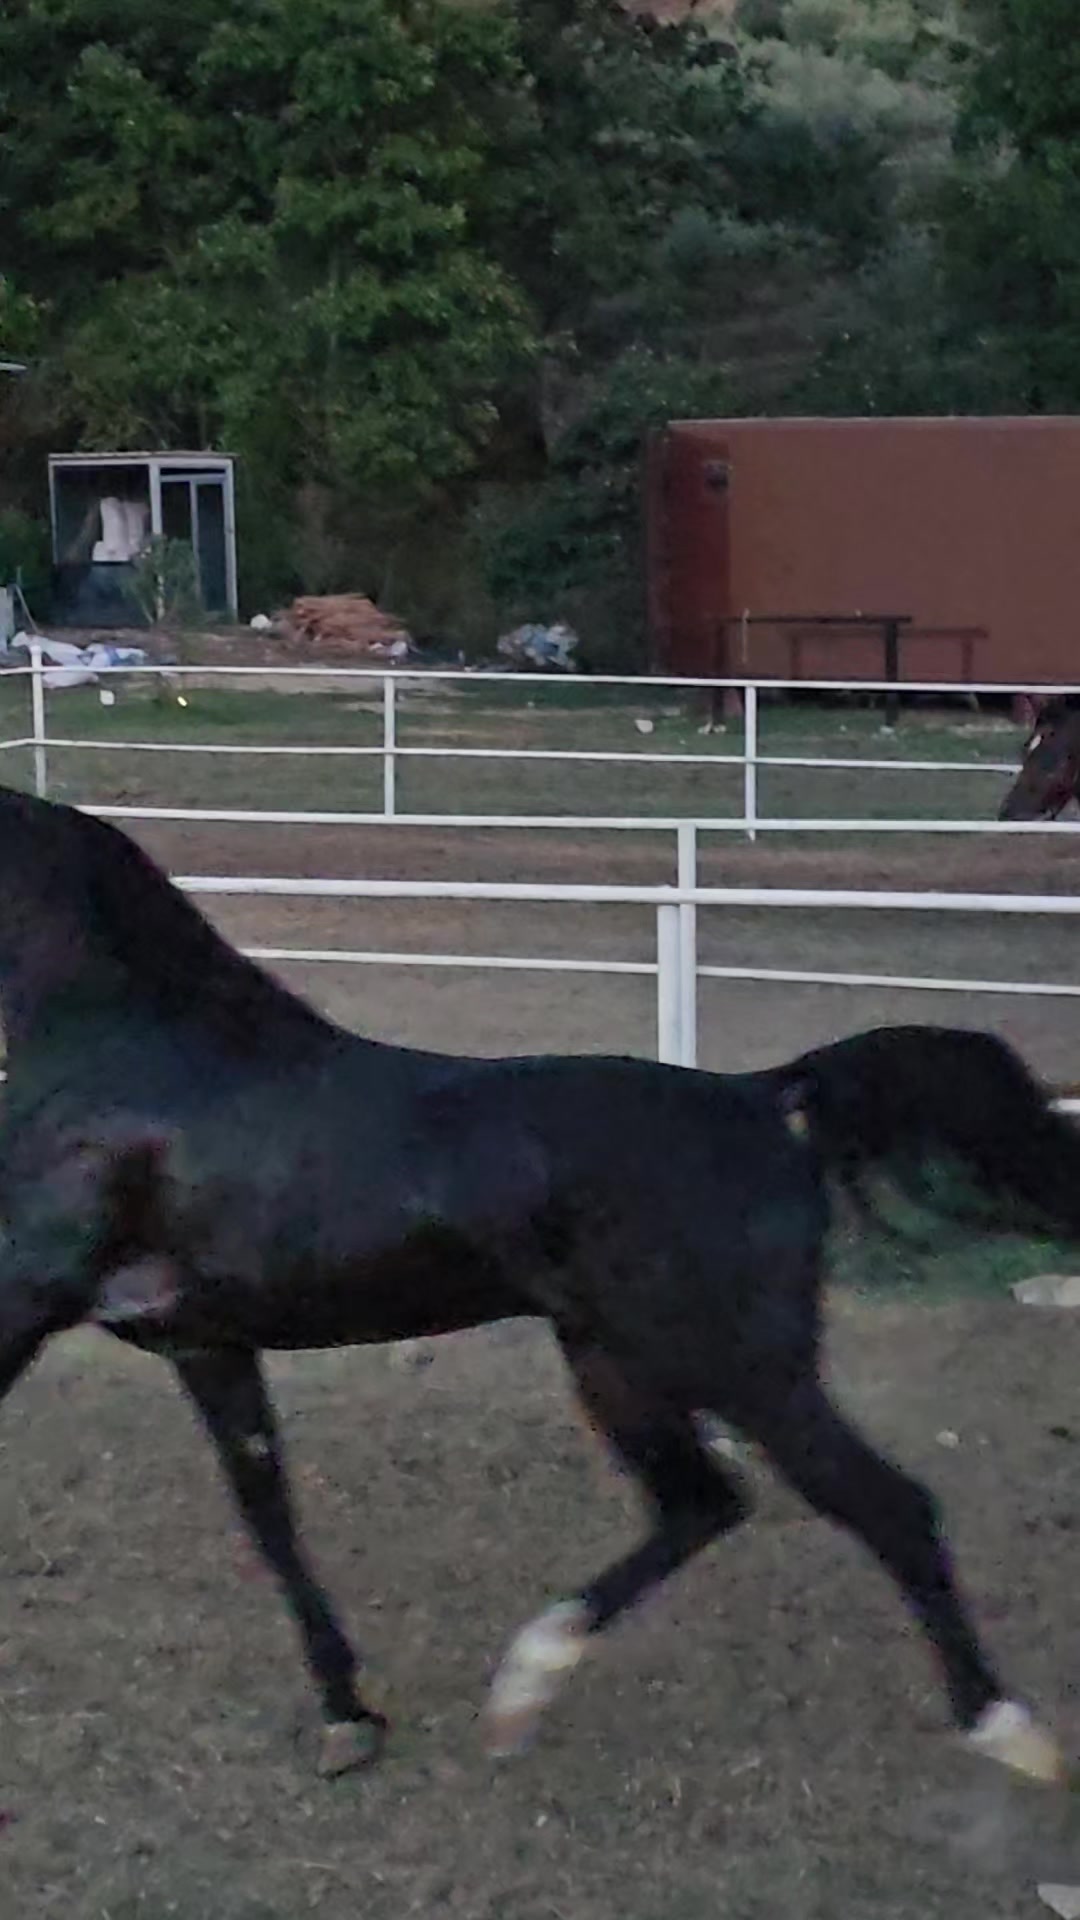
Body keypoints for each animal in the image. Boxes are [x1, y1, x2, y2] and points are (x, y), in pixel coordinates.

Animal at [0, 782, 1078, 1788]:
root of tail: (764, 1097)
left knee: (886, 1506)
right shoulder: (207, 1342)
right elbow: (271, 1517)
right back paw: (525, 1685)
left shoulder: (27, 1306)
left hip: (739, 1366)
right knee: (703, 1503)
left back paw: (1009, 1732)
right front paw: (349, 1716)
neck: (124, 1056)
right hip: (617, 1363)